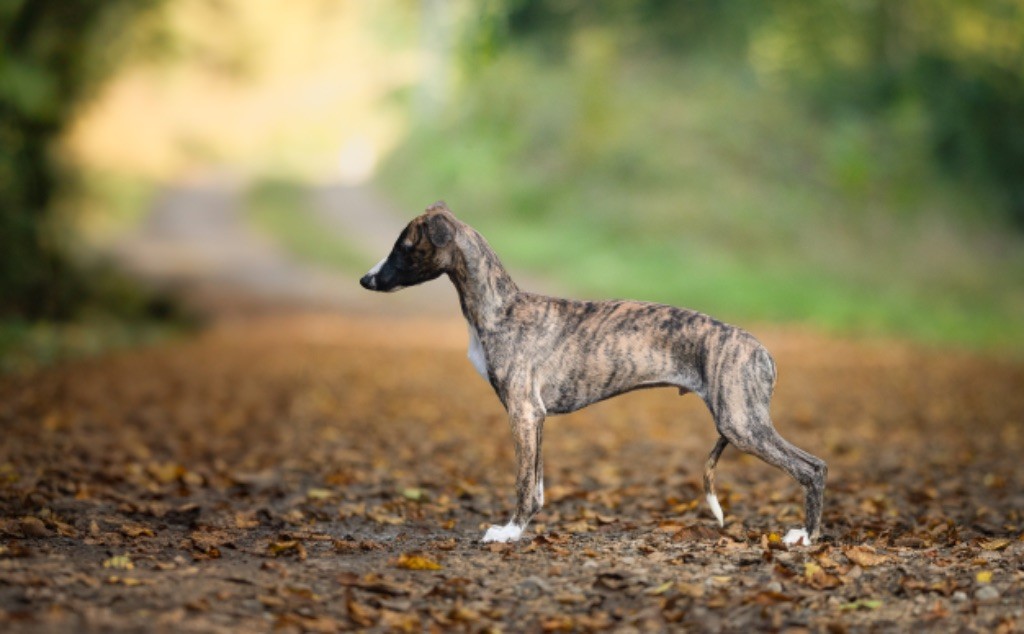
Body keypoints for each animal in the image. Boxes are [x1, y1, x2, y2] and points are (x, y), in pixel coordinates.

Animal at [358, 203, 823, 544]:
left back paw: (805, 536)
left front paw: (509, 532)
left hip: (741, 424)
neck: (500, 308)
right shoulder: (536, 417)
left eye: (405, 246)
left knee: (813, 467)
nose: (365, 280)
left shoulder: (523, 412)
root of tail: (762, 351)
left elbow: (523, 484)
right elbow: (537, 485)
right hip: (742, 422)